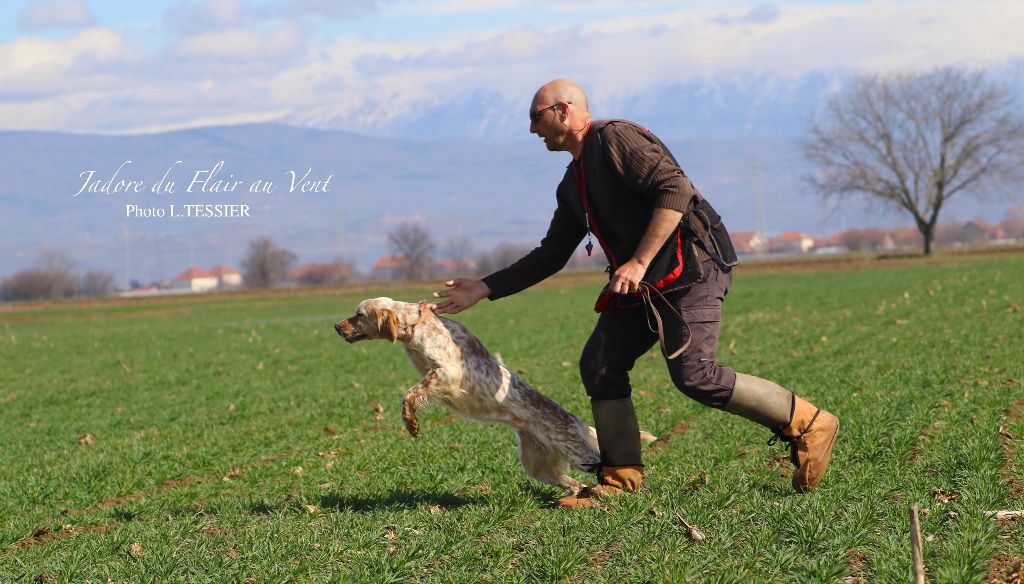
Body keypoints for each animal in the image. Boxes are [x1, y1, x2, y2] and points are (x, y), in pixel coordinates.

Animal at [333, 297, 647, 493]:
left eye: (359, 315)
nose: (336, 327)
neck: (416, 325)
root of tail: (575, 421)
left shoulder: (447, 372)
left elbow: (409, 394)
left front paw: (411, 423)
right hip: (536, 462)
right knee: (570, 482)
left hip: (577, 452)